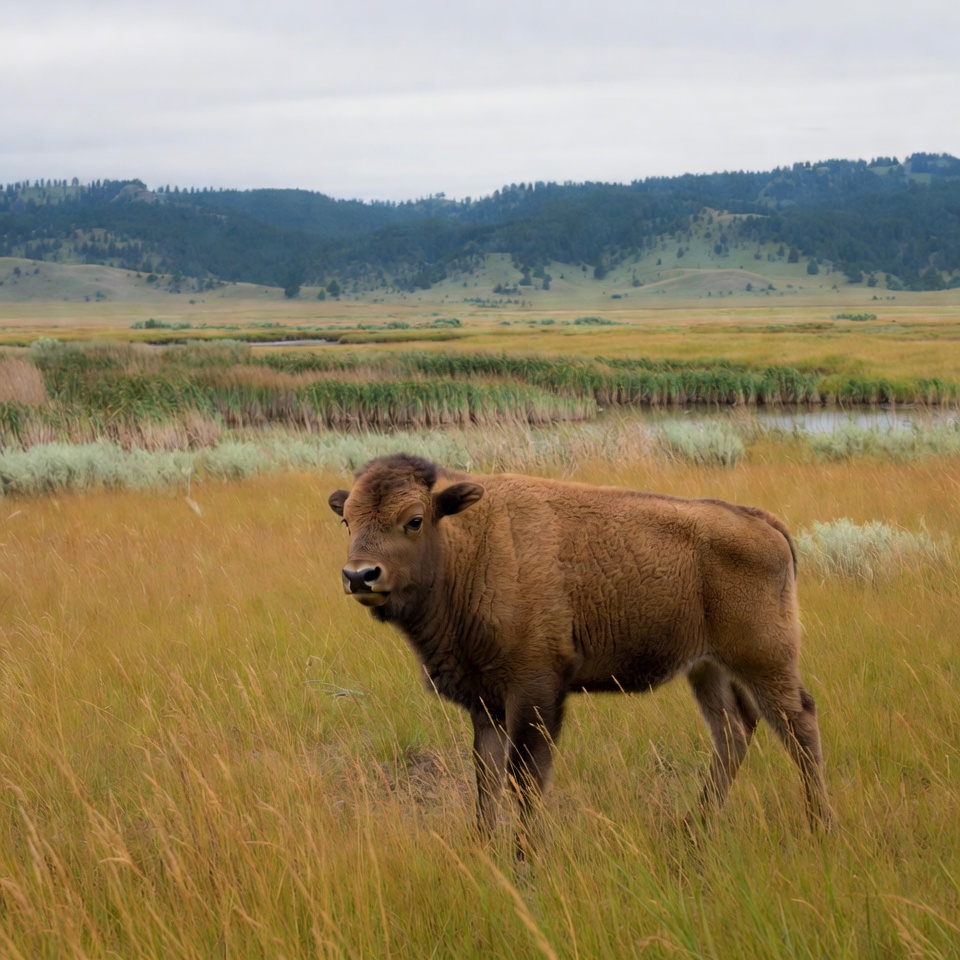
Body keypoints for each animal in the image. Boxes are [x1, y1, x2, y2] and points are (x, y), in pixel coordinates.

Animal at [329, 453, 830, 848]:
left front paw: (525, 859)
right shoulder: (486, 702)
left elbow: (525, 780)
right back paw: (692, 827)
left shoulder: (534, 692)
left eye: (413, 520)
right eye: (347, 519)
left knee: (798, 723)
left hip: (763, 659)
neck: (467, 545)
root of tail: (762, 521)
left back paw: (820, 827)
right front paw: (482, 848)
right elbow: (486, 778)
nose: (359, 576)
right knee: (733, 731)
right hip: (708, 668)